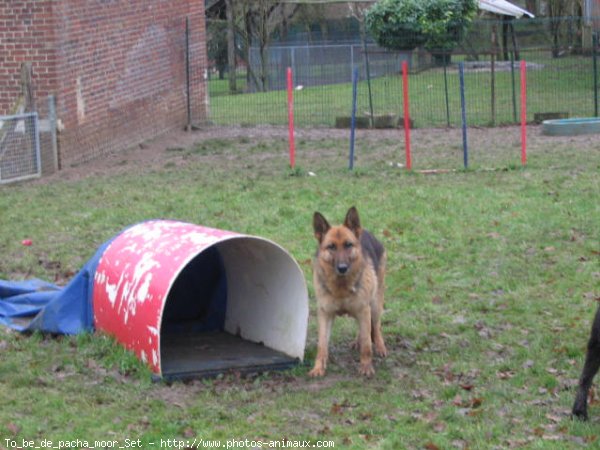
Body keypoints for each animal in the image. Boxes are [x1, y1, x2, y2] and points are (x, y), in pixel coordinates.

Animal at [308, 207, 386, 376]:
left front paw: (366, 367)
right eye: (331, 246)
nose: (342, 268)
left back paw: (380, 346)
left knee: (376, 326)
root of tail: (365, 231)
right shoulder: (325, 314)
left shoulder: (363, 309)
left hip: (375, 305)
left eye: (348, 245)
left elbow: (367, 344)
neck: (341, 288)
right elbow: (322, 345)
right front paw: (318, 368)